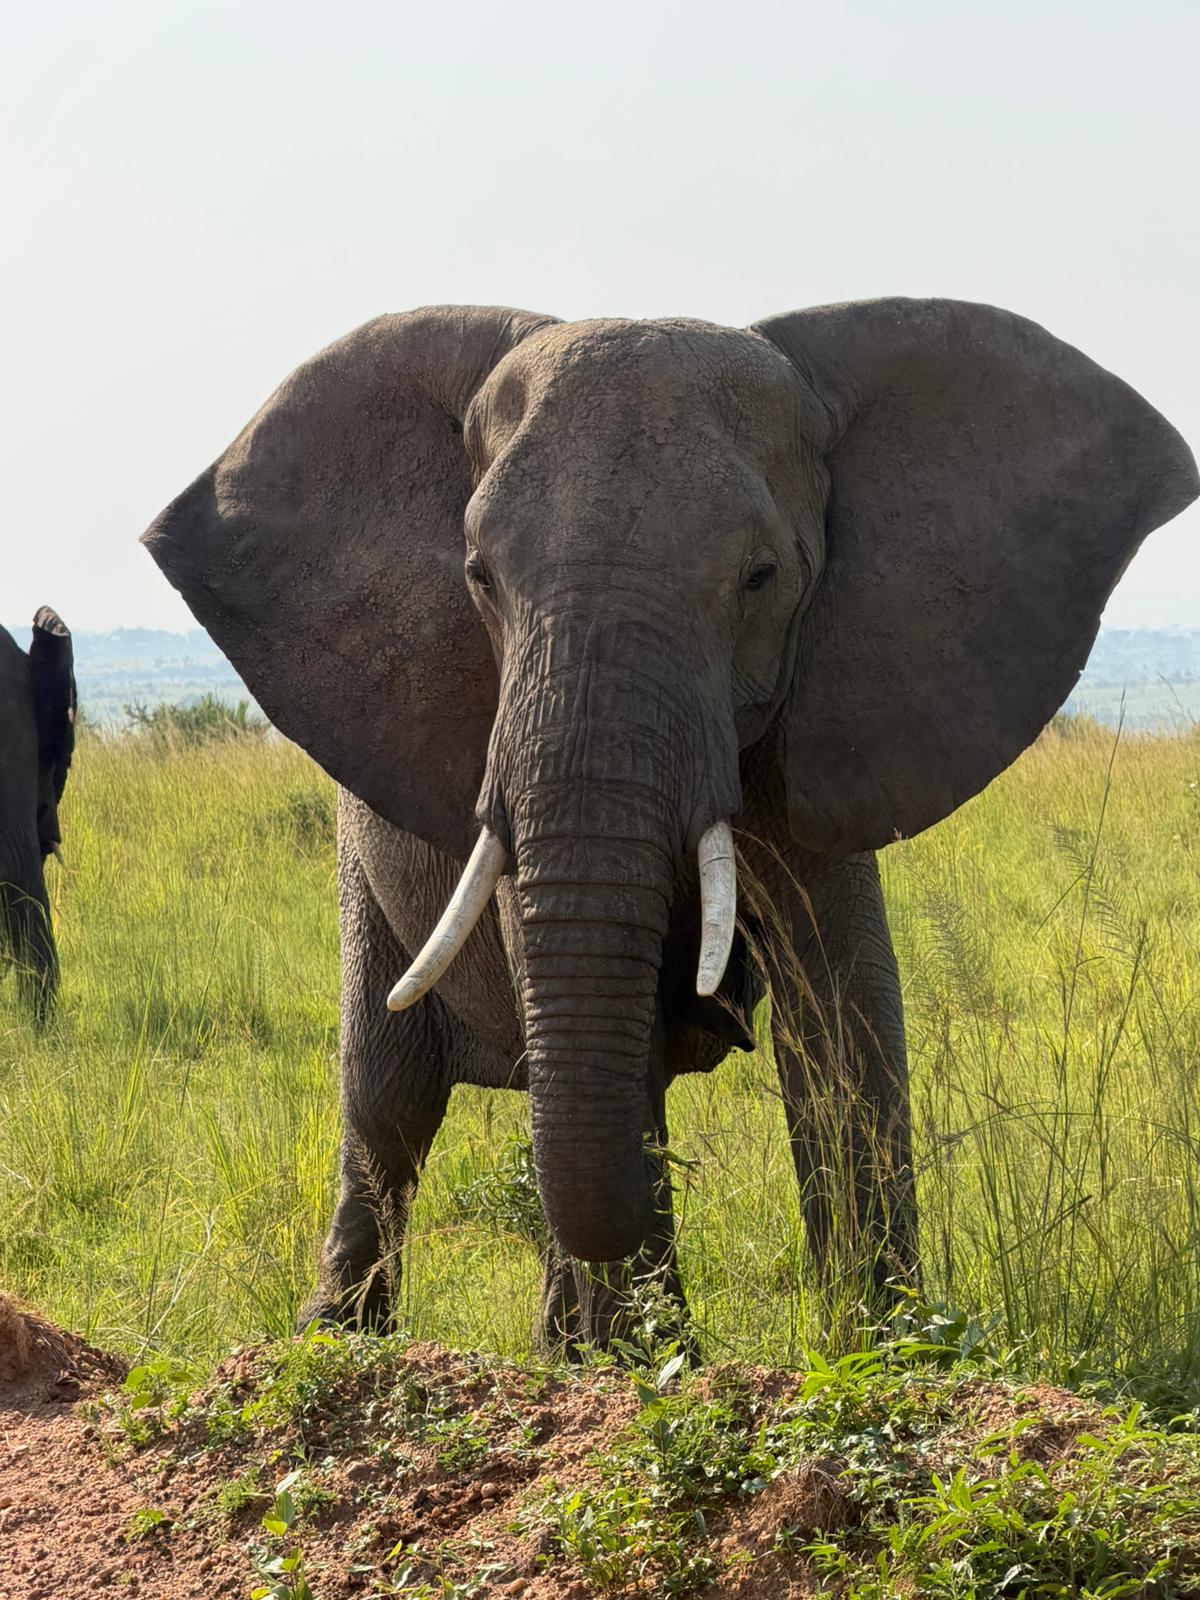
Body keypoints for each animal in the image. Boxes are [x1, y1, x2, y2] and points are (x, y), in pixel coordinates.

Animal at [141, 299, 1197, 1345]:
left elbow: (843, 1010)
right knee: (389, 1090)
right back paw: (347, 1341)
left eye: (763, 577)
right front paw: (650, 1360)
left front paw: (881, 1348)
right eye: (479, 576)